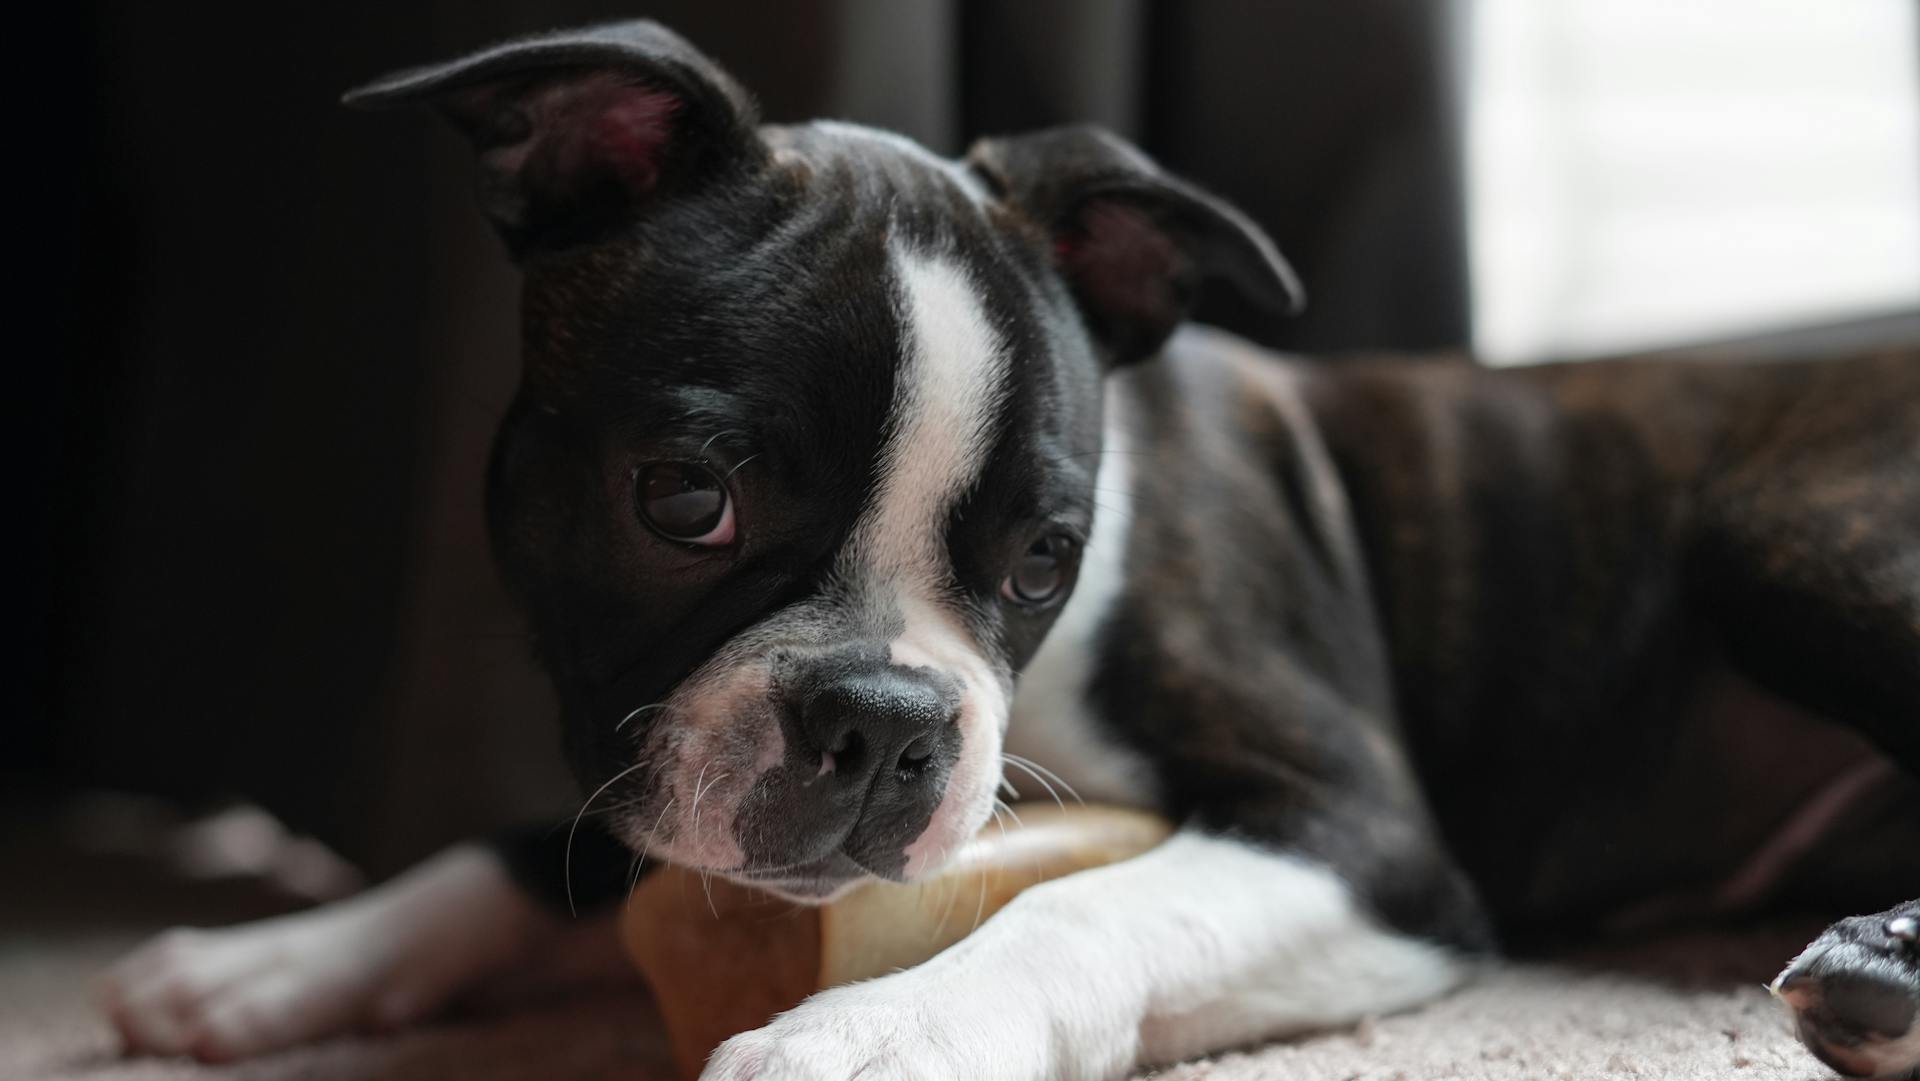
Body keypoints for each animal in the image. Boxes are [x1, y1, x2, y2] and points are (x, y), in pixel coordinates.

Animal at [97, 19, 1912, 1081]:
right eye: (685, 502)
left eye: (1049, 554)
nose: (886, 723)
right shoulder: (644, 745)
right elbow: (523, 848)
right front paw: (275, 962)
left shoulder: (1364, 838)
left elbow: (1086, 908)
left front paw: (879, 1029)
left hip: (1773, 532)